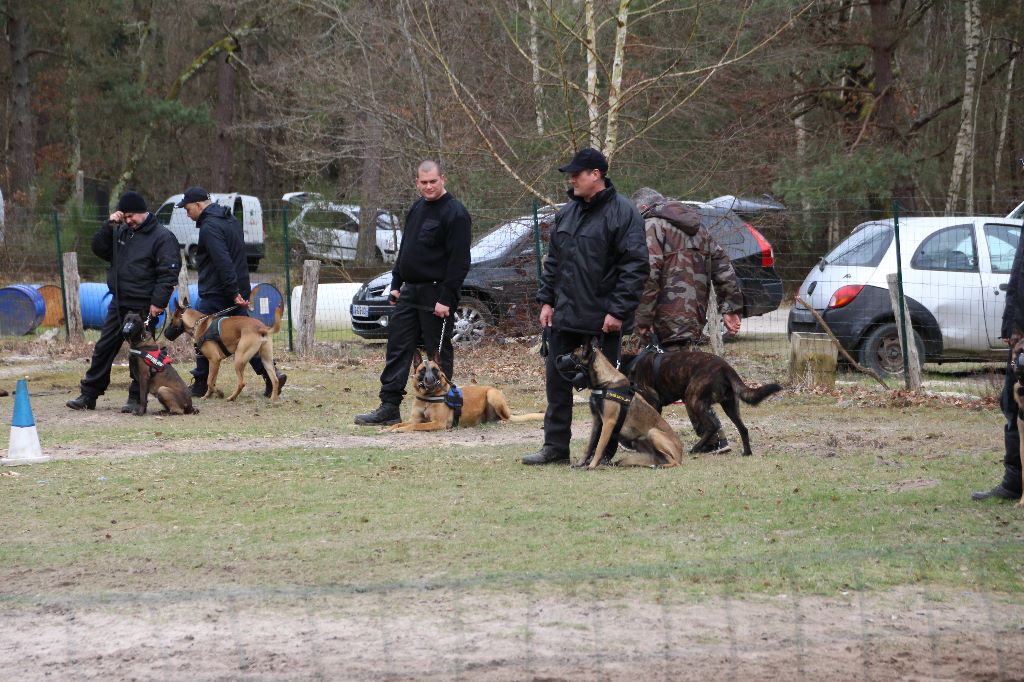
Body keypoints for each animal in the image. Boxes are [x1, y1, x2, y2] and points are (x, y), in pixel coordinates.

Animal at [385, 350, 544, 430]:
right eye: (423, 370)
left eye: (435, 370)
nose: (430, 380)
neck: (428, 398)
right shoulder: (414, 418)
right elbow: (401, 423)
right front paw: (390, 428)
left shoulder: (438, 423)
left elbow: (416, 426)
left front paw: (400, 429)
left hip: (492, 394)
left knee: (507, 418)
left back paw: (503, 422)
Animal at [614, 348, 782, 454]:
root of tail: (726, 367)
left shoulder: (653, 402)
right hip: (730, 406)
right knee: (743, 429)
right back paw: (746, 452)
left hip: (692, 399)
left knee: (712, 426)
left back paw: (696, 448)